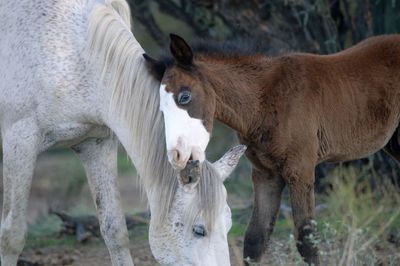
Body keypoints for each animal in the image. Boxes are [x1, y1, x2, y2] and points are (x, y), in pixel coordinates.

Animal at [0, 1, 244, 264]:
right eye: (199, 230)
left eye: (228, 225)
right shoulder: (20, 140)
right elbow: (12, 237)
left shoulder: (96, 143)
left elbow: (114, 230)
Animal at [143, 34, 400, 264]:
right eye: (161, 107)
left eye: (185, 96)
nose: (177, 155)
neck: (265, 100)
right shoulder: (266, 174)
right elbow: (255, 239)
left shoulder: (300, 171)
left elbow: (307, 240)